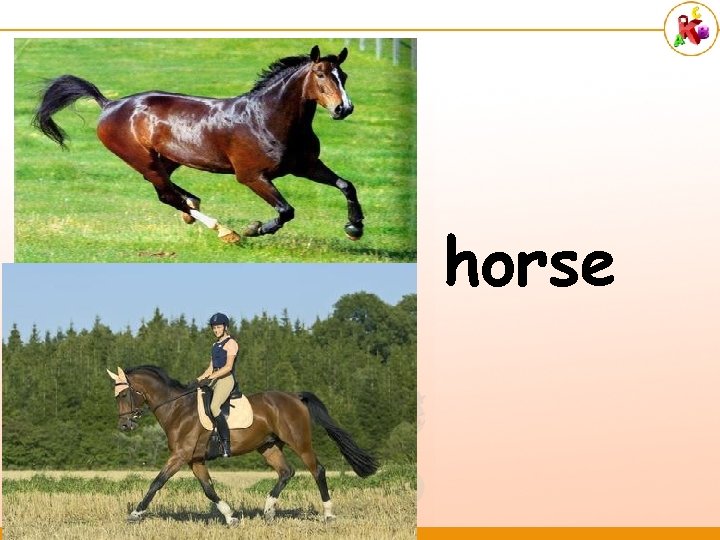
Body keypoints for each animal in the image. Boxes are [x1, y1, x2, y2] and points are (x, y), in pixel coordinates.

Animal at [33, 45, 365, 243]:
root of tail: (109, 104)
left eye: (344, 75)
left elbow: (346, 185)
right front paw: (254, 228)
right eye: (320, 74)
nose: (343, 109)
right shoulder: (251, 176)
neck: (265, 119)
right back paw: (225, 231)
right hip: (144, 160)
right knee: (167, 194)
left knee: (168, 191)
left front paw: (355, 228)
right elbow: (286, 211)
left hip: (165, 159)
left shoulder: (305, 166)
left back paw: (193, 206)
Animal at [106, 365, 377, 524]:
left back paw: (328, 514)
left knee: (317, 470)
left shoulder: (180, 456)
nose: (125, 425)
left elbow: (157, 482)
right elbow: (208, 489)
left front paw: (135, 514)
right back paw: (268, 511)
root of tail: (295, 397)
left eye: (123, 394)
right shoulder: (194, 459)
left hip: (299, 441)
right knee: (286, 472)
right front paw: (230, 517)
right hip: (268, 446)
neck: (177, 408)